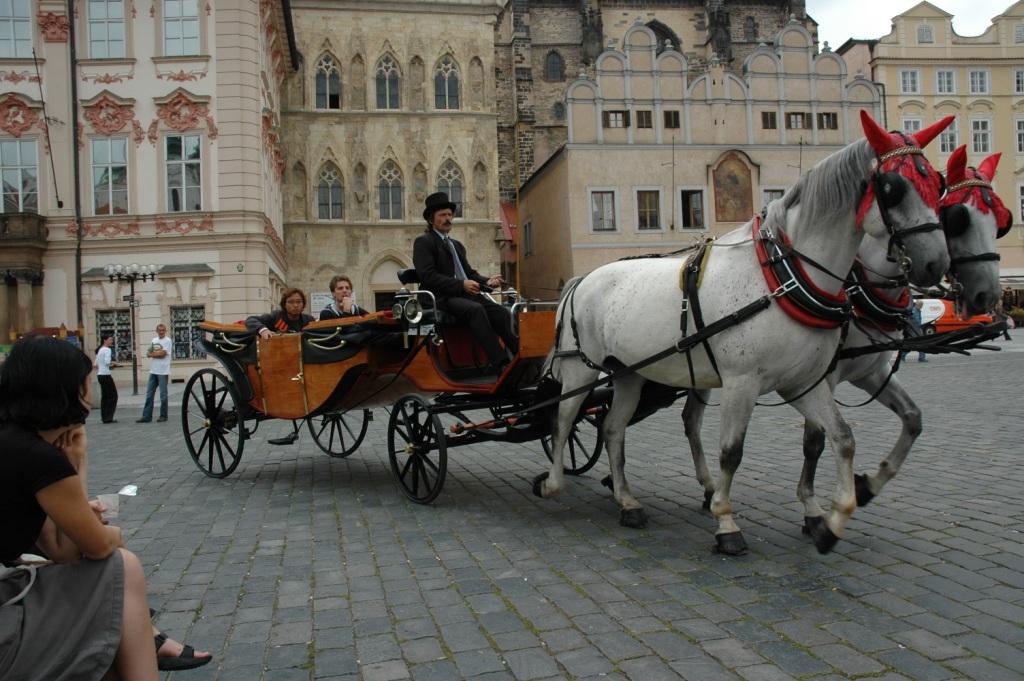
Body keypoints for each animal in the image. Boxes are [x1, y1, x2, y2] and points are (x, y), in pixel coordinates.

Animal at [540, 111, 946, 552]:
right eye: (893, 188)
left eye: (939, 185)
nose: (936, 263)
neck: (783, 277)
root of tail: (583, 279)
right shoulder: (742, 382)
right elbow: (732, 452)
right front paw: (726, 522)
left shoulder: (802, 382)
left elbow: (842, 436)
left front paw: (833, 520)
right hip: (582, 369)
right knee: (563, 420)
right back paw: (554, 483)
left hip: (629, 373)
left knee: (613, 429)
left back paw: (627, 501)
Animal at [679, 143, 1007, 528]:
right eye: (957, 218)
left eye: (1000, 221)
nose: (987, 295)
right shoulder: (826, 374)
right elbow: (815, 440)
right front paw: (813, 508)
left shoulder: (869, 371)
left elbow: (912, 418)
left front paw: (865, 487)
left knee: (691, 420)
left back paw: (707, 487)